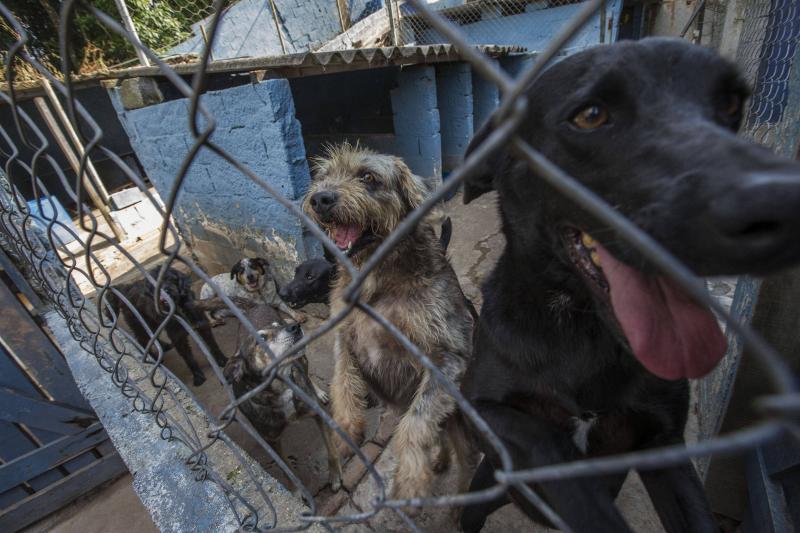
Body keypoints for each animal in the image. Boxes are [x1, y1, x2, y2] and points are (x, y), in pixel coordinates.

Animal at [304, 143, 472, 504]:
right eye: (323, 175)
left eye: (368, 177)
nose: (320, 199)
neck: (375, 280)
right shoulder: (345, 339)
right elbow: (342, 384)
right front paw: (346, 432)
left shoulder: (448, 356)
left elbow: (415, 422)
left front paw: (410, 479)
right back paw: (439, 460)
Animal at [456, 38, 800, 532]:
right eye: (591, 115)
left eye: (731, 104)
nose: (782, 202)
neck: (582, 329)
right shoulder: (478, 407)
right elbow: (542, 438)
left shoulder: (664, 445)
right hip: (481, 494)